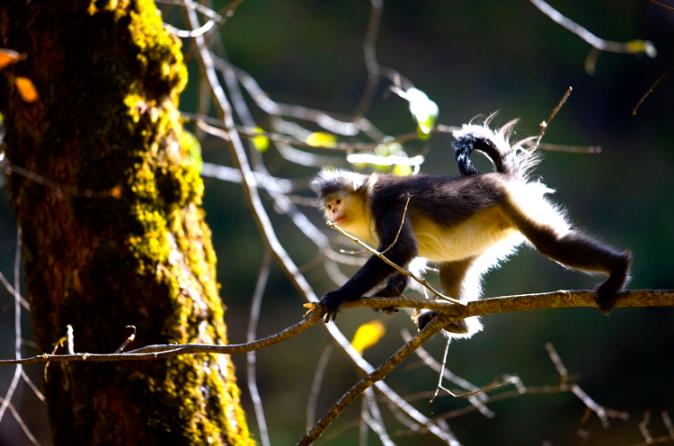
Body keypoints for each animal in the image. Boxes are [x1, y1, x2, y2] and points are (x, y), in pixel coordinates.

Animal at [314, 120, 632, 336]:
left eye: (338, 202)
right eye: (328, 205)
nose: (333, 213)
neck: (367, 200)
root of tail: (502, 178)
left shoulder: (386, 204)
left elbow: (402, 250)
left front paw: (340, 296)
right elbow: (405, 258)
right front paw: (391, 293)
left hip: (513, 202)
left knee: (549, 241)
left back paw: (619, 269)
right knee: (452, 272)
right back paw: (460, 324)